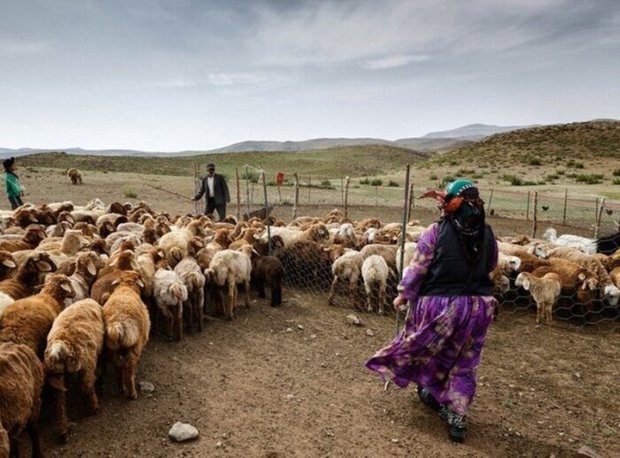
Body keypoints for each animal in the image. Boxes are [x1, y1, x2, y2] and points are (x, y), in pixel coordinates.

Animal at [103, 270, 150, 398]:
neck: (126, 286)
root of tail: (117, 324)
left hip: (113, 349)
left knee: (119, 367)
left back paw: (121, 388)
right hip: (134, 345)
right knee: (129, 368)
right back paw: (132, 394)